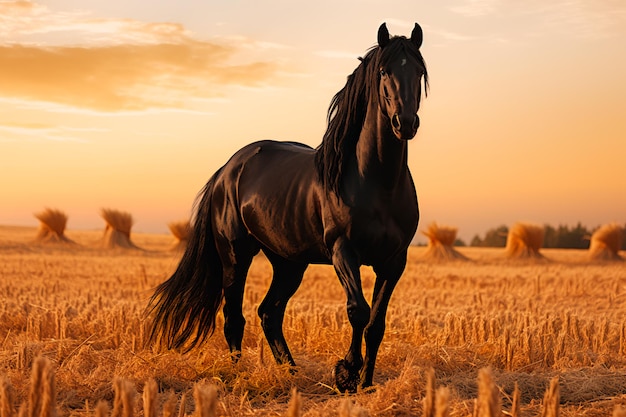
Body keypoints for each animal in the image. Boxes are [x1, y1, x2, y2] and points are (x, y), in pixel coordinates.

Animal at [149, 22, 426, 390]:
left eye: (419, 71)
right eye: (384, 71)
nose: (404, 123)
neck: (376, 182)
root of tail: (227, 170)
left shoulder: (394, 262)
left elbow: (376, 324)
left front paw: (365, 384)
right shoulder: (343, 251)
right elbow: (358, 310)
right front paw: (346, 373)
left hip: (289, 262)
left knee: (270, 312)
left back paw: (290, 372)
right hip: (235, 256)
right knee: (234, 316)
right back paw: (240, 374)